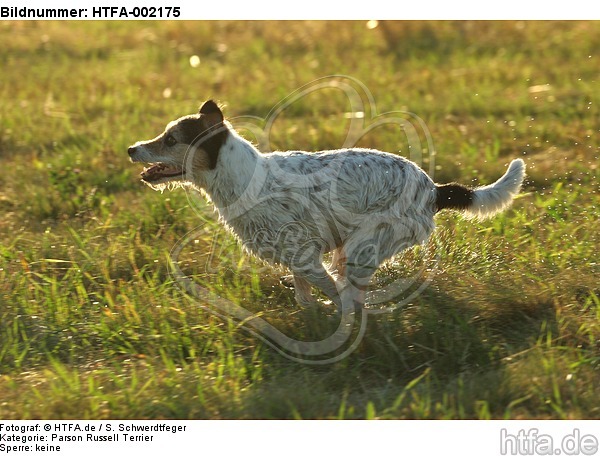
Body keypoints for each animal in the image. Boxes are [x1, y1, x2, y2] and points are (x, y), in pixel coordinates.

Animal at [127, 100, 524, 314]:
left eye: (171, 140)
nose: (131, 148)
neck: (244, 177)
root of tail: (433, 190)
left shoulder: (306, 256)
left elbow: (331, 291)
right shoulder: (298, 258)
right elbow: (304, 293)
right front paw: (313, 310)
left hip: (363, 246)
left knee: (352, 292)